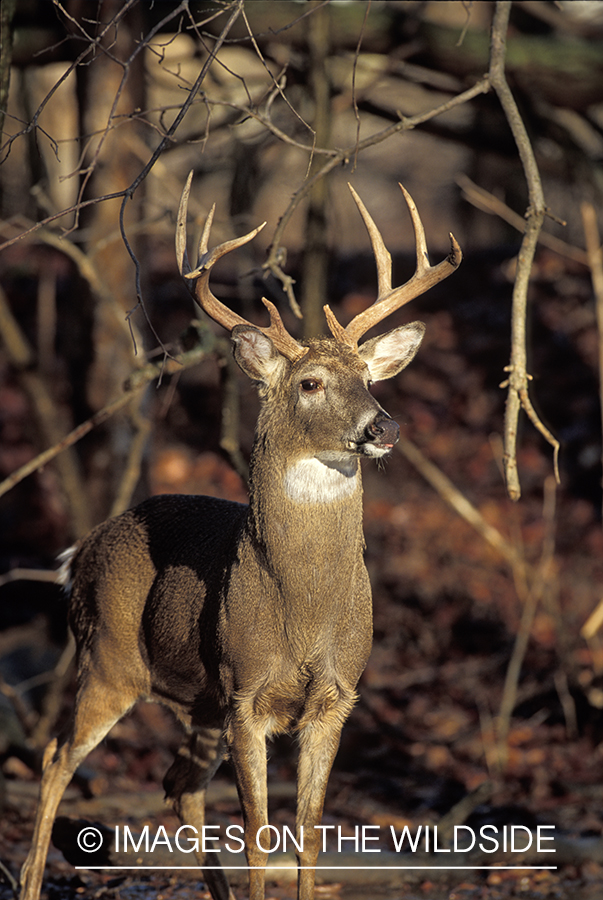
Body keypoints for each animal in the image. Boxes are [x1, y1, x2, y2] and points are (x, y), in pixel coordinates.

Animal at [20, 178, 462, 900]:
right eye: (310, 382)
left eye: (370, 379)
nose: (385, 427)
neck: (303, 612)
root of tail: (78, 552)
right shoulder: (244, 692)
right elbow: (258, 831)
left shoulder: (335, 697)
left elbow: (308, 833)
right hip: (109, 656)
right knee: (58, 756)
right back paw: (30, 880)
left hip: (194, 700)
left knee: (178, 782)